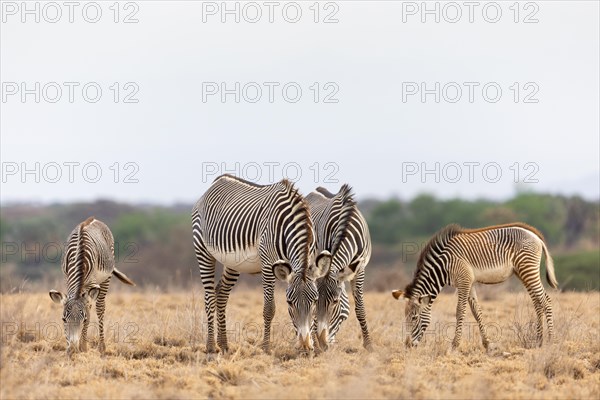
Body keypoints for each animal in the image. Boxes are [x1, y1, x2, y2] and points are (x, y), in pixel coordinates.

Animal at [48, 217, 135, 354]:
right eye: (63, 319)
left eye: (83, 319)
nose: (73, 350)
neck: (79, 256)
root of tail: (93, 218)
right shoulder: (67, 278)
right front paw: (70, 347)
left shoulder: (92, 284)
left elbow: (89, 312)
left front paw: (83, 347)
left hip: (106, 278)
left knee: (99, 308)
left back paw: (101, 347)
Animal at [191, 175, 330, 354]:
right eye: (289, 302)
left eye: (314, 300)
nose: (305, 346)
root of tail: (216, 182)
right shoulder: (268, 265)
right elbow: (269, 308)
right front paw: (266, 348)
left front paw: (315, 347)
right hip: (203, 250)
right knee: (209, 297)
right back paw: (210, 347)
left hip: (234, 263)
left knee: (221, 294)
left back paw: (224, 345)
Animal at [308, 184, 372, 350]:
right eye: (317, 301)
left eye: (335, 302)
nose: (322, 343)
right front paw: (316, 343)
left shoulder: (360, 269)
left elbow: (359, 307)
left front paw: (368, 344)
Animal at [394, 222, 556, 350]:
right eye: (405, 317)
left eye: (414, 318)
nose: (407, 346)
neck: (444, 265)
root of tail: (535, 235)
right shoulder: (469, 282)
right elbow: (476, 312)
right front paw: (487, 344)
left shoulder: (464, 281)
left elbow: (460, 311)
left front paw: (454, 345)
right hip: (522, 272)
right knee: (537, 301)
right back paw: (539, 341)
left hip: (527, 269)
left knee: (546, 301)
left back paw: (550, 341)